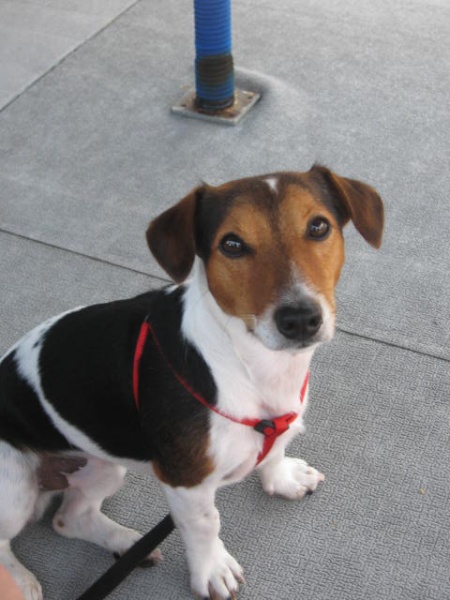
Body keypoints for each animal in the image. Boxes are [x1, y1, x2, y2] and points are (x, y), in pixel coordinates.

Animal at [0, 166, 384, 600]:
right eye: (232, 244)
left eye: (318, 226)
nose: (300, 318)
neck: (250, 364)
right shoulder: (186, 481)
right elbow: (204, 524)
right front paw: (212, 570)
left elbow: (273, 454)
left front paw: (283, 478)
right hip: (13, 488)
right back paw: (21, 580)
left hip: (102, 465)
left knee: (69, 518)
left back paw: (126, 543)